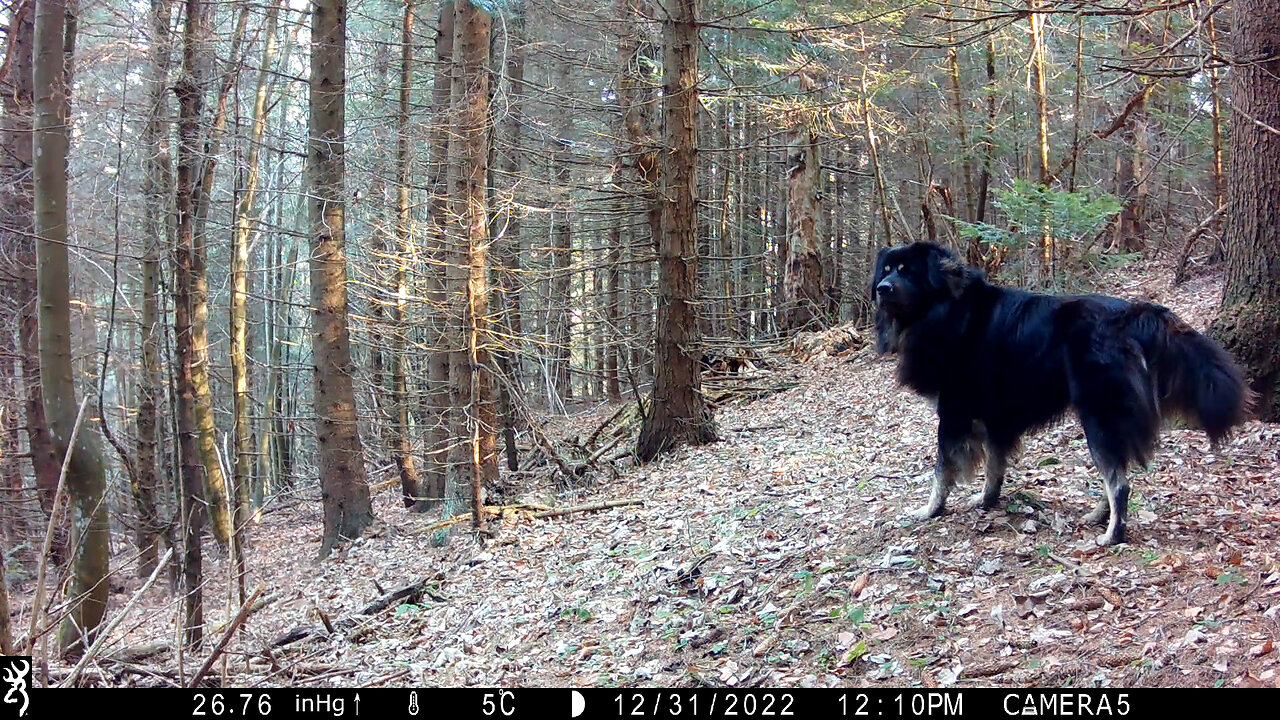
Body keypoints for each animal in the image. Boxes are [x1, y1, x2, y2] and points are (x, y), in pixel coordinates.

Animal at [870, 240, 1249, 543]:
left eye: (907, 271)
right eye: (885, 271)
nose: (882, 289)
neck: (948, 310)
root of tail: (1130, 315)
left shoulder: (953, 414)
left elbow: (942, 470)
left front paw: (930, 510)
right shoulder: (995, 418)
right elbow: (994, 466)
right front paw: (987, 501)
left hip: (1098, 414)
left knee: (1119, 482)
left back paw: (1113, 535)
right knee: (1117, 471)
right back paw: (1099, 516)